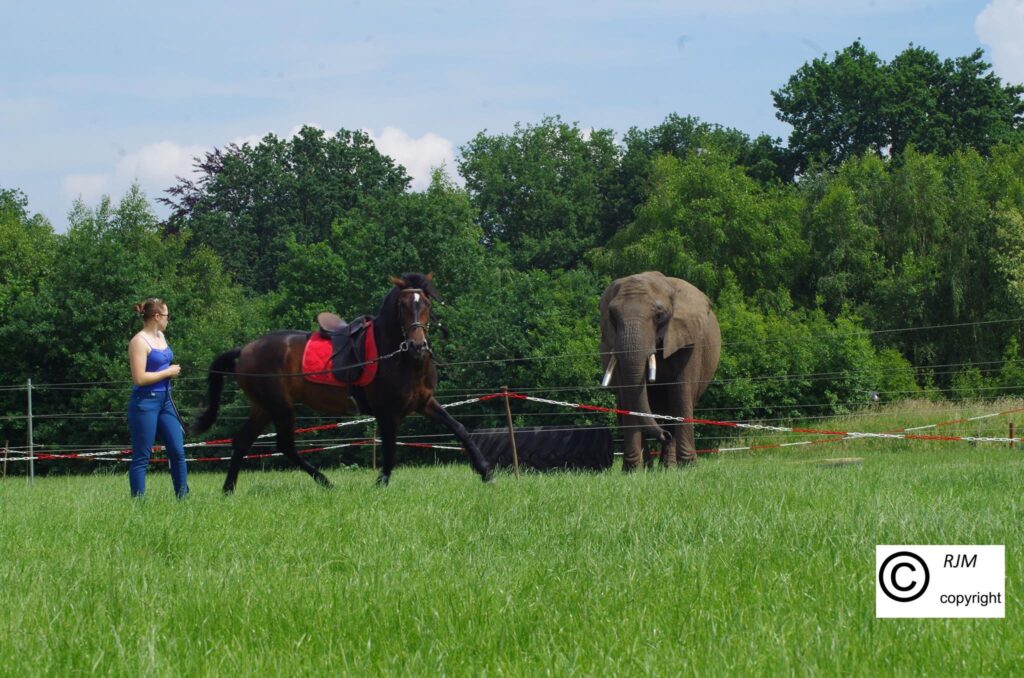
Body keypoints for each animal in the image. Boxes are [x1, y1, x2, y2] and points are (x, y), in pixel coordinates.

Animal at [194, 272, 495, 493]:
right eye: (403, 306)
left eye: (427, 305)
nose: (417, 345)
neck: (400, 358)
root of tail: (245, 350)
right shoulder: (387, 413)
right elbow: (390, 448)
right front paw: (381, 483)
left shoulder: (424, 402)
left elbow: (459, 428)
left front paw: (486, 471)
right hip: (280, 406)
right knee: (285, 446)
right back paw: (326, 482)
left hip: (264, 407)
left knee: (243, 442)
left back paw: (229, 489)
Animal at [598, 274, 720, 471]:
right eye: (612, 316)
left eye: (659, 315)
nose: (664, 436)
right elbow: (629, 397)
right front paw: (632, 471)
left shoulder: (688, 338)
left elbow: (680, 394)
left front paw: (688, 467)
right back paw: (648, 467)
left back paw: (667, 466)